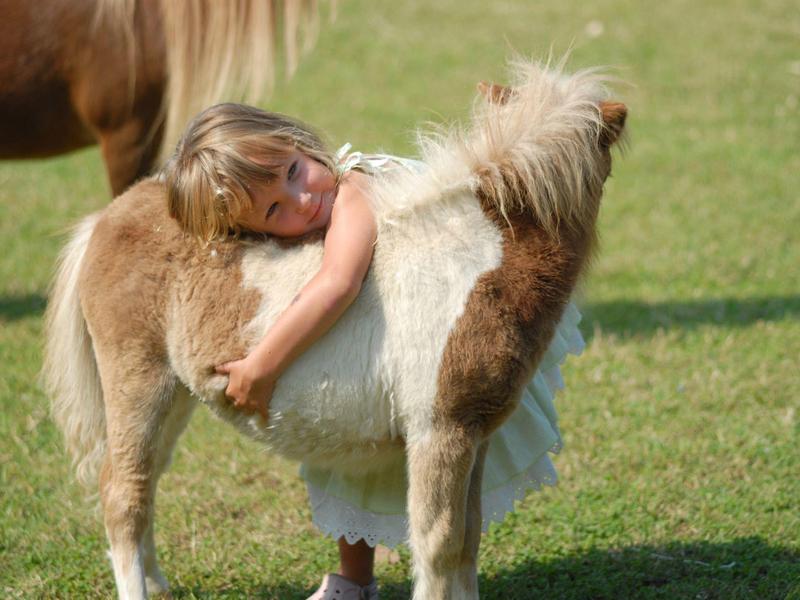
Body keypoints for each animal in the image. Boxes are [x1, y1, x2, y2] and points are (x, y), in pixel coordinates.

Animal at [43, 60, 627, 599]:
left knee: (144, 483)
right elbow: (438, 544)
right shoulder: (439, 430)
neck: (477, 259)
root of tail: (105, 219)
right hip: (138, 383)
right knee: (123, 493)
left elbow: (468, 539)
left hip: (175, 397)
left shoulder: (475, 434)